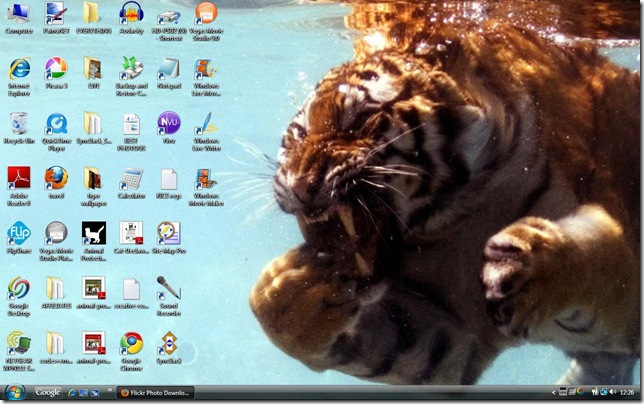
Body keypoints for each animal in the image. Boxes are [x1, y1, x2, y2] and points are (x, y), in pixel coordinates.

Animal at [249, 9, 640, 385]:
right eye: (300, 133)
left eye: (358, 120)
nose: (299, 185)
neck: (459, 213)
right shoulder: (457, 336)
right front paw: (289, 290)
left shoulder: (625, 287)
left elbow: (597, 259)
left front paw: (530, 266)